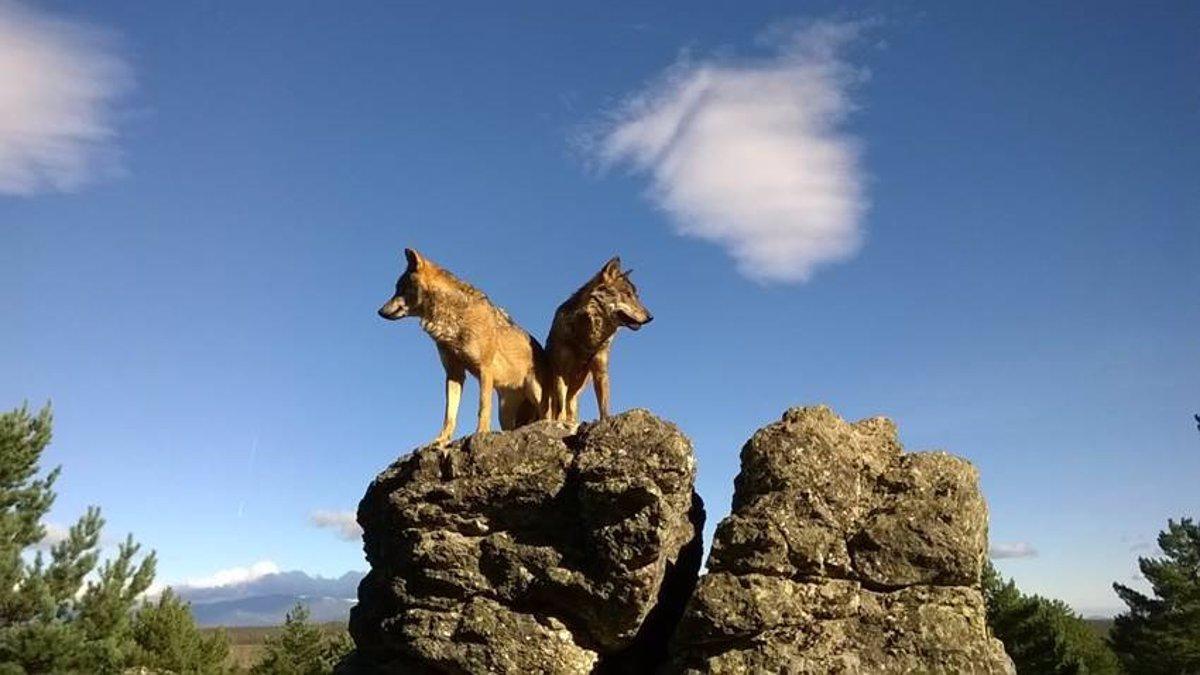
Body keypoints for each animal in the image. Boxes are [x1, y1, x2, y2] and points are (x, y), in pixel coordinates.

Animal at [374, 249, 549, 444]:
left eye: (400, 288)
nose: (379, 311)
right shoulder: (454, 374)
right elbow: (449, 414)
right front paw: (441, 440)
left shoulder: (485, 369)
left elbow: (483, 407)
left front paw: (481, 433)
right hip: (505, 415)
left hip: (537, 394)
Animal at [547, 255, 652, 420]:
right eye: (627, 294)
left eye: (637, 296)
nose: (650, 317)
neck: (589, 339)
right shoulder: (561, 371)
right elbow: (560, 406)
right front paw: (560, 422)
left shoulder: (601, 371)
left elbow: (604, 406)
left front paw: (605, 421)